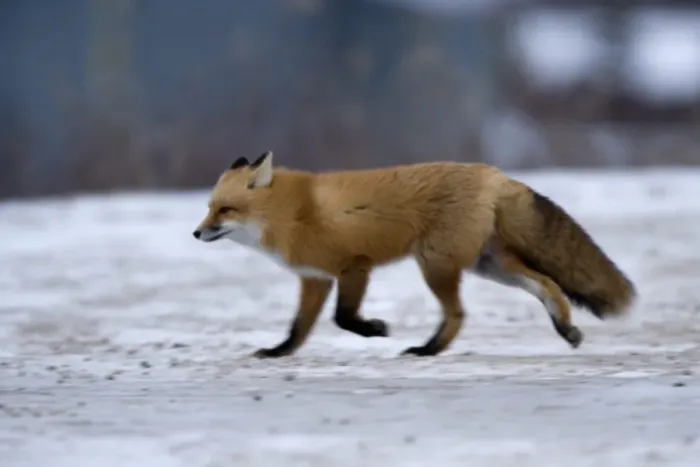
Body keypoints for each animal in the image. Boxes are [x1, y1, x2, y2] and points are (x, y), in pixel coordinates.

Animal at [193, 151, 636, 359]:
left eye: (225, 210)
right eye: (209, 206)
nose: (196, 233)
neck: (290, 213)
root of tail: (493, 173)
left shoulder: (354, 267)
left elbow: (343, 318)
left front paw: (375, 329)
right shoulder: (314, 278)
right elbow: (299, 328)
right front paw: (278, 352)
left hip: (436, 265)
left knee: (458, 313)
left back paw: (429, 349)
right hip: (488, 265)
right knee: (547, 285)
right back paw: (566, 329)